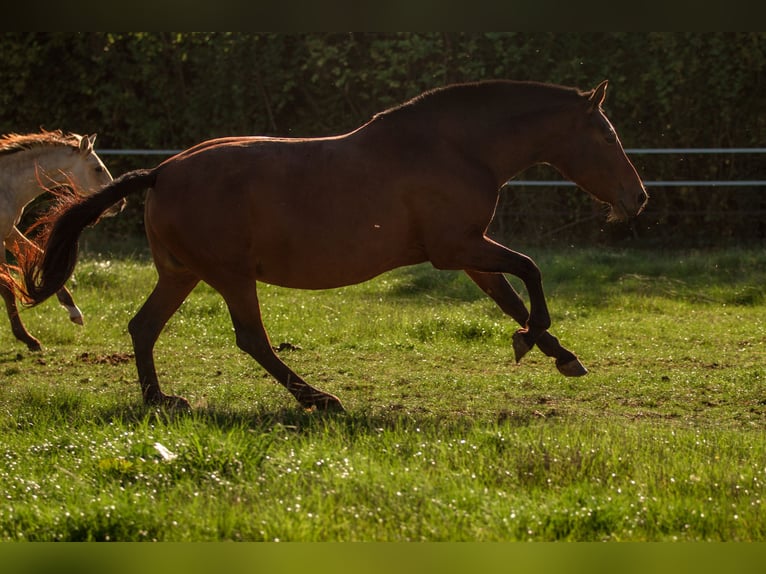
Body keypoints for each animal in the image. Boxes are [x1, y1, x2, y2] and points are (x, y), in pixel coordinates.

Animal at [0, 130, 118, 352]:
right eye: (98, 168)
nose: (120, 203)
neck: (5, 186)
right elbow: (8, 286)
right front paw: (28, 339)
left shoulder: (8, 232)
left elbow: (40, 257)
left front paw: (74, 311)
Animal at [16, 82, 648, 414]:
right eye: (606, 135)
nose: (637, 197)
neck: (456, 148)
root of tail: (162, 173)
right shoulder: (458, 248)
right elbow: (531, 271)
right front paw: (536, 343)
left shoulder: (470, 254)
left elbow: (513, 298)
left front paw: (557, 353)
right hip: (230, 275)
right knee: (251, 340)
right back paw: (319, 399)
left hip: (182, 274)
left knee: (143, 327)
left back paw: (160, 400)